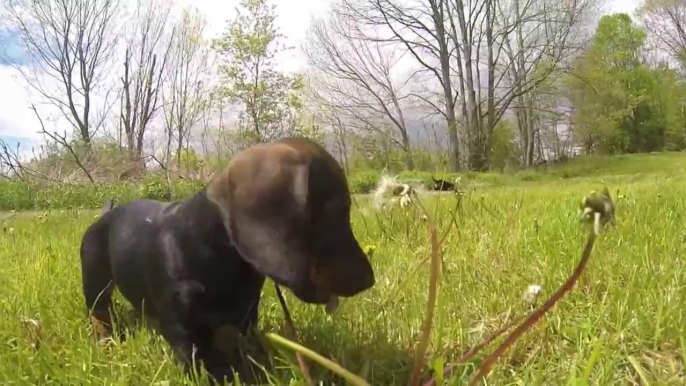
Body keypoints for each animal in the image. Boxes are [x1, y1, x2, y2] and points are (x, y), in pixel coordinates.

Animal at [83, 137, 378, 382]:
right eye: (335, 211)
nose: (369, 280)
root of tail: (105, 215)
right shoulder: (183, 331)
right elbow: (206, 365)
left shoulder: (247, 315)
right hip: (95, 281)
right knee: (99, 313)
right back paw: (105, 342)